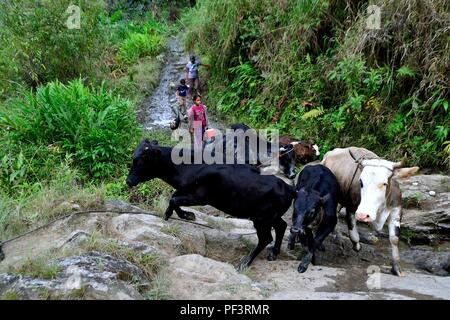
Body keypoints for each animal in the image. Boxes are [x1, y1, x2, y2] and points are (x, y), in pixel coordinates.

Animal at [126, 140, 298, 270]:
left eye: (139, 161)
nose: (128, 181)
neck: (188, 166)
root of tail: (289, 188)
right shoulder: (185, 191)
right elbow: (173, 197)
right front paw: (185, 215)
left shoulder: (200, 197)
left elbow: (173, 199)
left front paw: (173, 215)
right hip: (271, 217)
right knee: (281, 226)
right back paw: (273, 253)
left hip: (261, 219)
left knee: (266, 238)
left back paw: (245, 262)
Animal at [322, 147, 420, 276]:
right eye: (361, 182)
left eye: (384, 183)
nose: (363, 215)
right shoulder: (352, 207)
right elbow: (353, 232)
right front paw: (357, 246)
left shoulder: (397, 209)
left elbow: (394, 238)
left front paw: (396, 267)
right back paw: (338, 239)